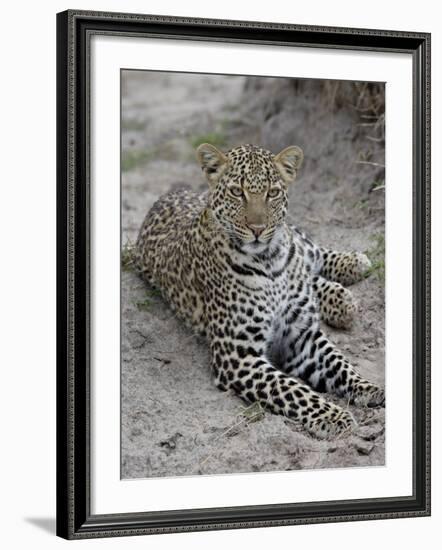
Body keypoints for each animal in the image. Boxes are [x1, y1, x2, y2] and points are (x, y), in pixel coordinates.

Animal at [134, 142, 384, 440]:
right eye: (236, 192)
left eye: (272, 193)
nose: (257, 229)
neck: (269, 261)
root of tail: (168, 194)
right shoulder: (239, 357)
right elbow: (292, 389)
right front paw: (333, 416)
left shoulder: (303, 335)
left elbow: (340, 364)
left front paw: (370, 388)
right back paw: (341, 298)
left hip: (296, 238)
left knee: (310, 254)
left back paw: (351, 269)